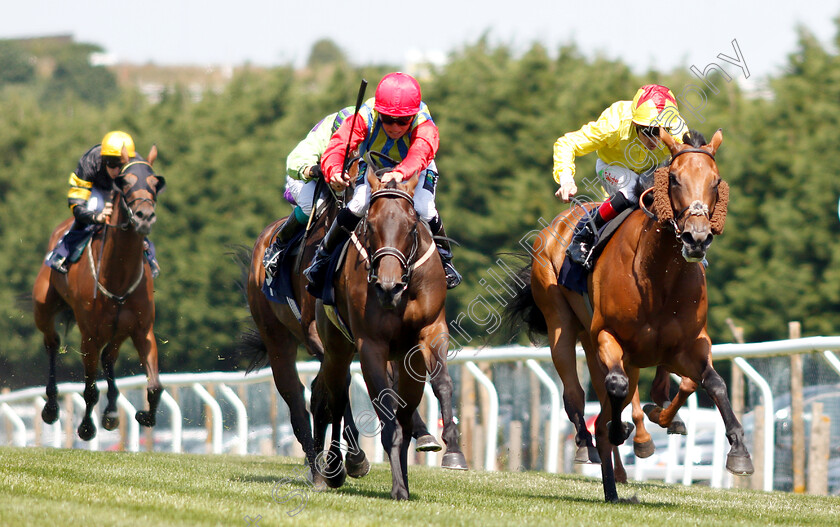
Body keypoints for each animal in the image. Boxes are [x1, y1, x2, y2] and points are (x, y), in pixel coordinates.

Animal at [312, 156, 466, 500]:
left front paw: (453, 450)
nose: (387, 287)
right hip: (336, 348)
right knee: (335, 400)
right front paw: (397, 488)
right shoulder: (370, 345)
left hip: (408, 359)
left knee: (406, 414)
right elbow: (385, 414)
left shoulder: (431, 331)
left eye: (411, 227)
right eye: (369, 226)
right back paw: (333, 467)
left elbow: (443, 384)